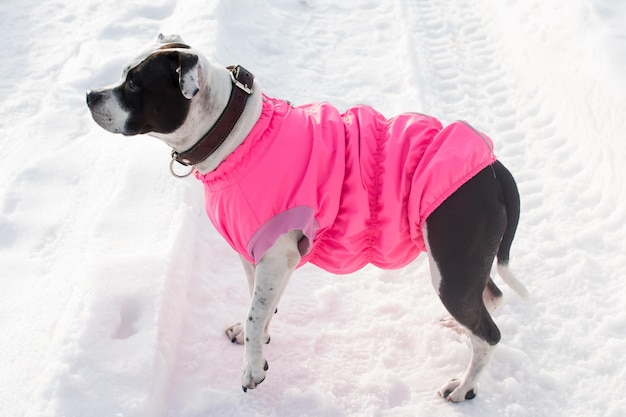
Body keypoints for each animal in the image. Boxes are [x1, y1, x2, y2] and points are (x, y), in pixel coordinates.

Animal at [86, 35, 528, 400]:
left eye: (133, 84)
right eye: (123, 74)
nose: (90, 94)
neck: (235, 135)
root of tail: (494, 168)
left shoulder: (275, 256)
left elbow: (255, 314)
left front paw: (251, 370)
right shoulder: (263, 258)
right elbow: (258, 307)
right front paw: (256, 346)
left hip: (452, 266)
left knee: (489, 333)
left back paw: (464, 386)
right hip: (463, 265)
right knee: (491, 297)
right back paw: (459, 331)